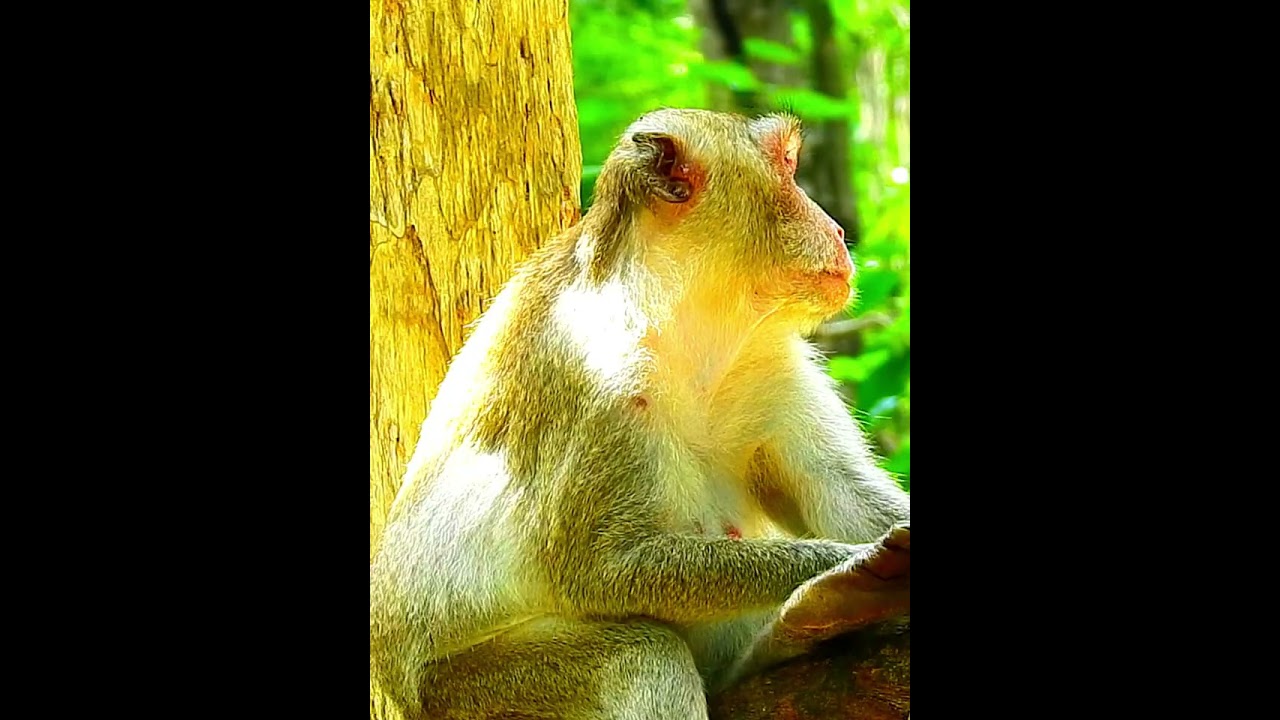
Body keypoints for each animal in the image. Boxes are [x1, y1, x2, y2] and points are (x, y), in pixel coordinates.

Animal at [369, 108, 911, 720]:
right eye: (788, 167)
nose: (838, 231)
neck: (686, 327)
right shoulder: (594, 377)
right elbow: (603, 570)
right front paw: (845, 562)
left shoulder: (770, 364)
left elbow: (840, 491)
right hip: (471, 694)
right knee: (641, 656)